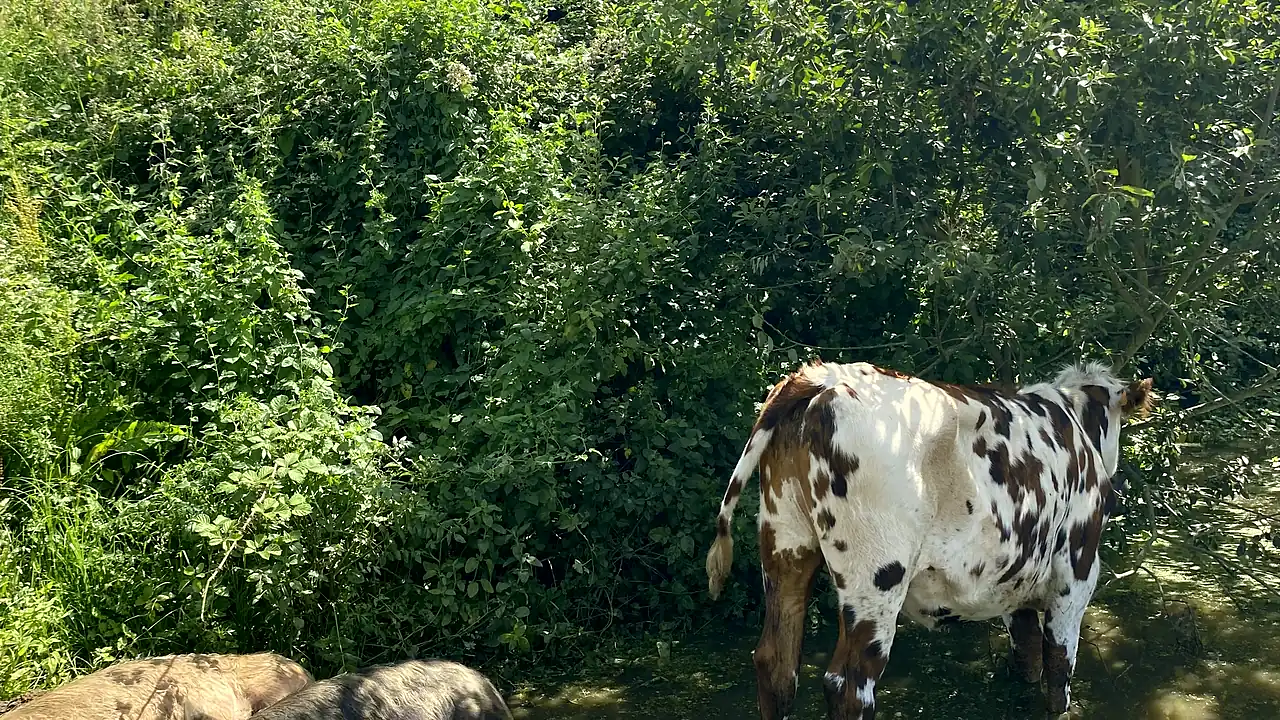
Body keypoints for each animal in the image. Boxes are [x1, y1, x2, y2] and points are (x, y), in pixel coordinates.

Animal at [705, 360, 1153, 719]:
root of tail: (822, 377)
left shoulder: (1017, 578)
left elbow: (1026, 654)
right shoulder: (1076, 573)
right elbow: (1059, 666)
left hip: (785, 547)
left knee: (776, 665)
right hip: (877, 579)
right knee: (849, 686)